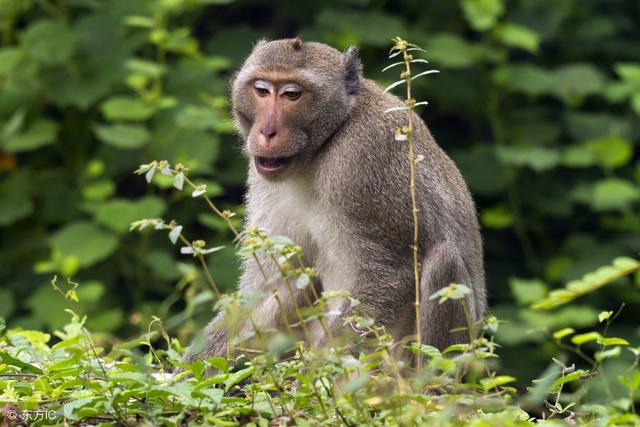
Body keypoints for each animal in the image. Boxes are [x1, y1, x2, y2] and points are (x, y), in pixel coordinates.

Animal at [185, 37, 484, 364]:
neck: (326, 141)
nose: (266, 132)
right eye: (261, 90)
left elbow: (390, 273)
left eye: (292, 94)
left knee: (444, 261)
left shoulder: (363, 159)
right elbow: (271, 285)